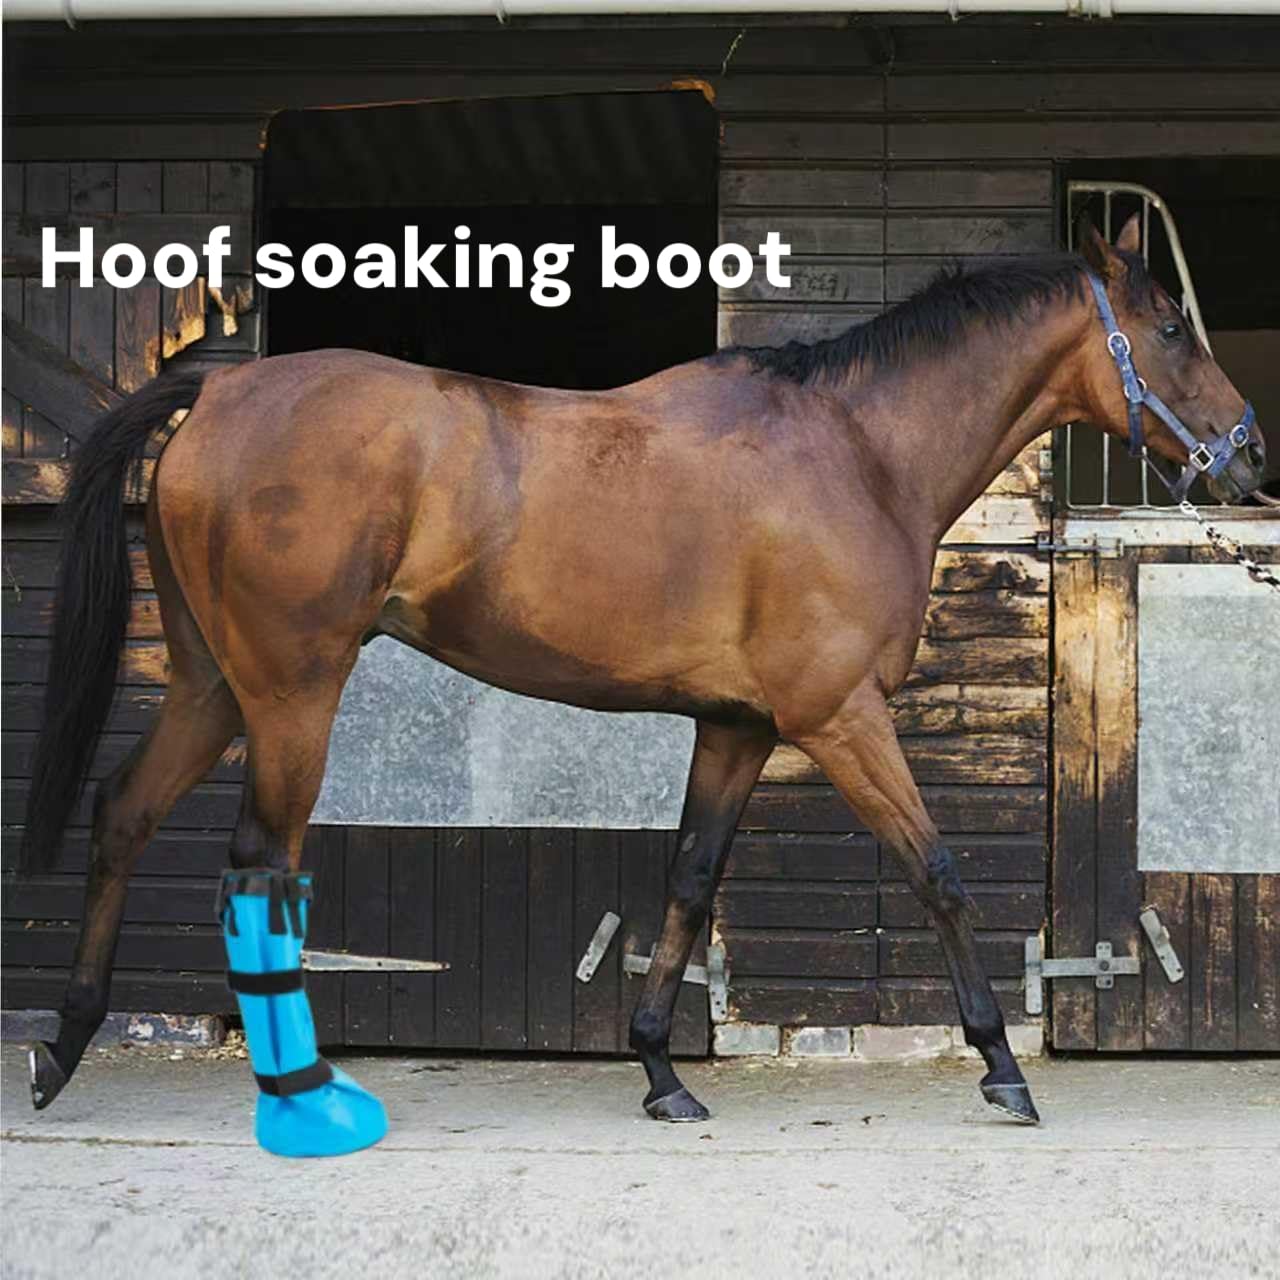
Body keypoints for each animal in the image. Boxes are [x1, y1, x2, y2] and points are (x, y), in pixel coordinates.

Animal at [21, 215, 1265, 1127]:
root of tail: (222, 391)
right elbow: (938, 872)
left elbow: (688, 877)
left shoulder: (737, 725)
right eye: (1167, 326)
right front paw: (1000, 1065)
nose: (1245, 451)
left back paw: (64, 1045)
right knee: (259, 865)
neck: (855, 453)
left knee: (125, 813)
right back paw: (294, 1086)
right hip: (290, 693)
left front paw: (662, 1071)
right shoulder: (839, 717)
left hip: (212, 687)